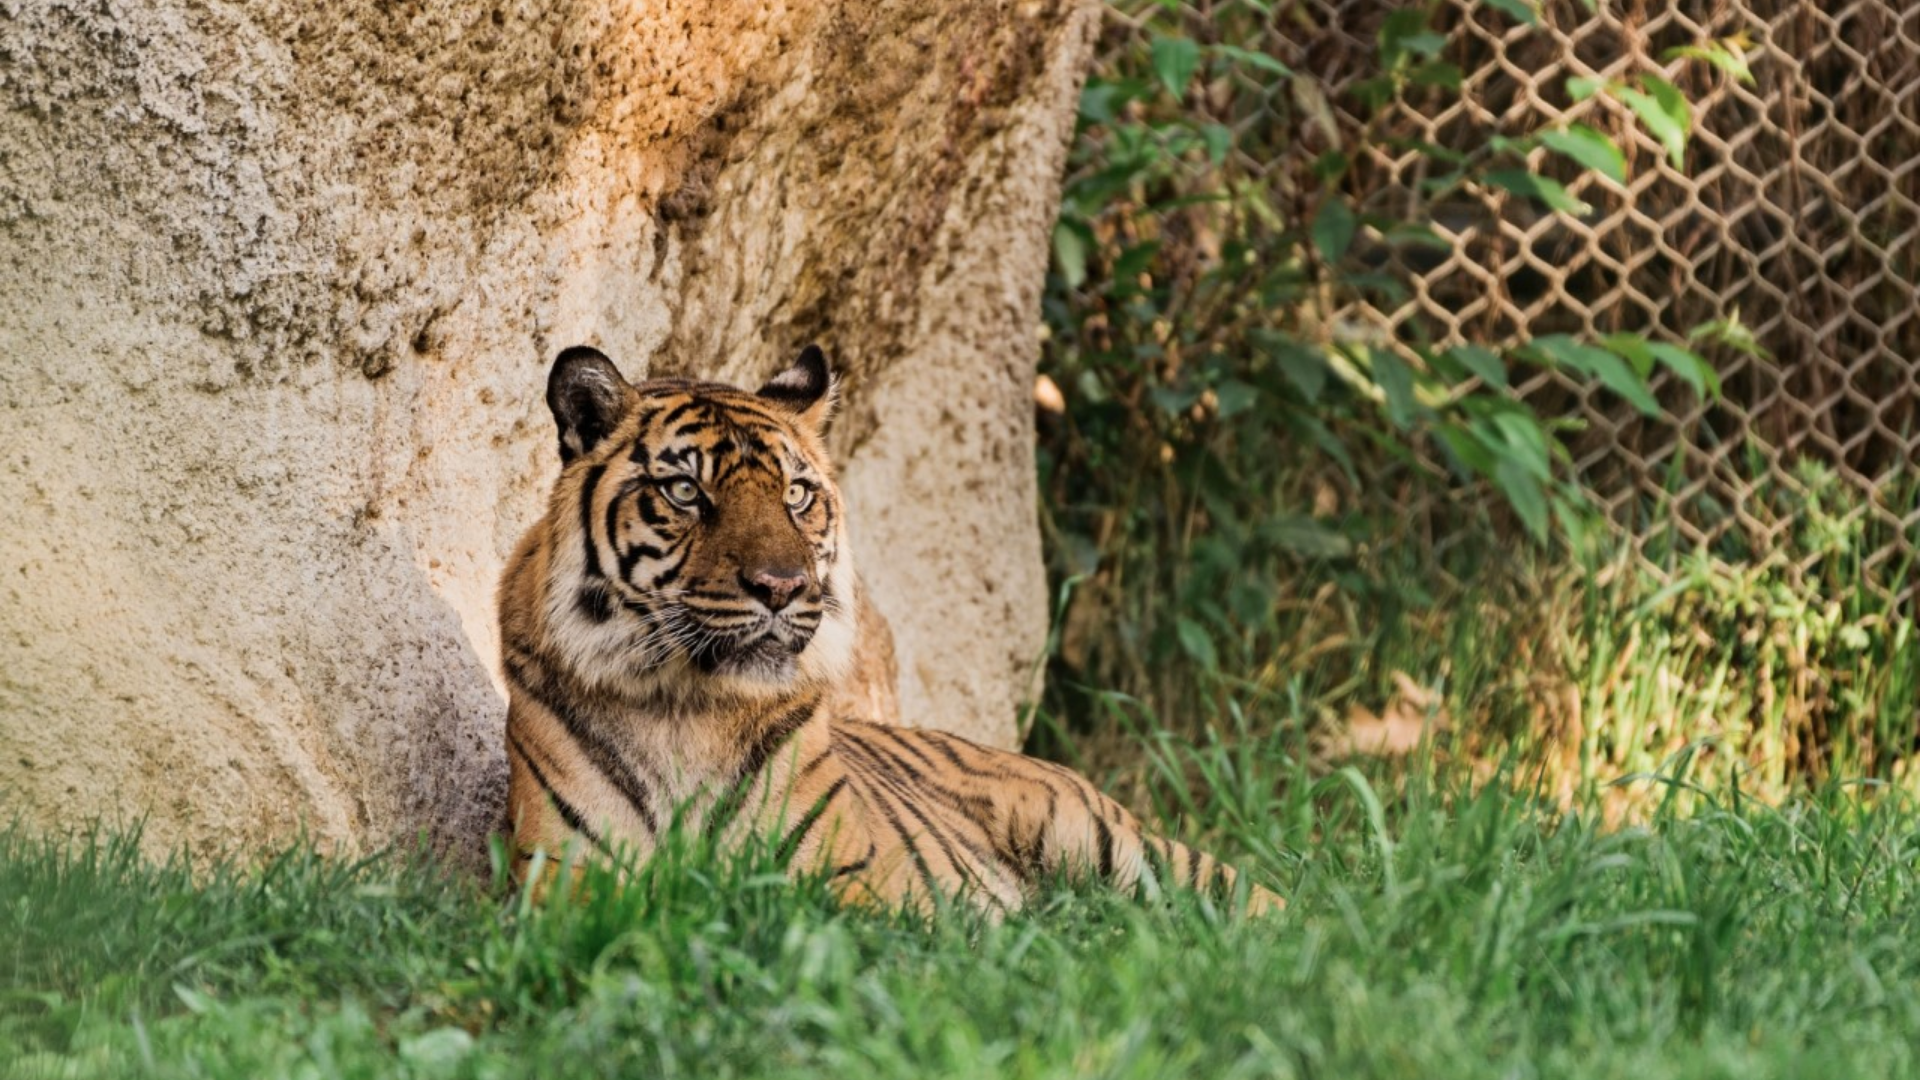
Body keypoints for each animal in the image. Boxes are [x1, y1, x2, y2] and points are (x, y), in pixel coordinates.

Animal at [495, 343, 1282, 914]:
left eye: (796, 494)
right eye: (686, 491)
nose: (782, 587)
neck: (687, 707)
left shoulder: (858, 881)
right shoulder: (566, 880)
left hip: (1113, 843)